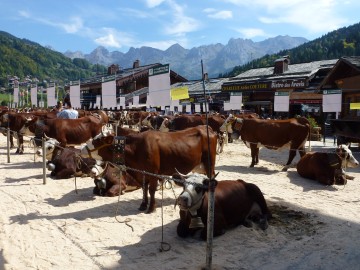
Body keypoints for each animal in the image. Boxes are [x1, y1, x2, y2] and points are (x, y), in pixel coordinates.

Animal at [79, 126, 217, 213]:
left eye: (97, 141)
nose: (81, 149)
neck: (137, 149)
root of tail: (205, 127)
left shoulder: (153, 172)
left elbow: (151, 190)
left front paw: (151, 208)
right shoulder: (142, 173)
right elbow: (144, 189)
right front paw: (143, 205)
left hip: (209, 163)